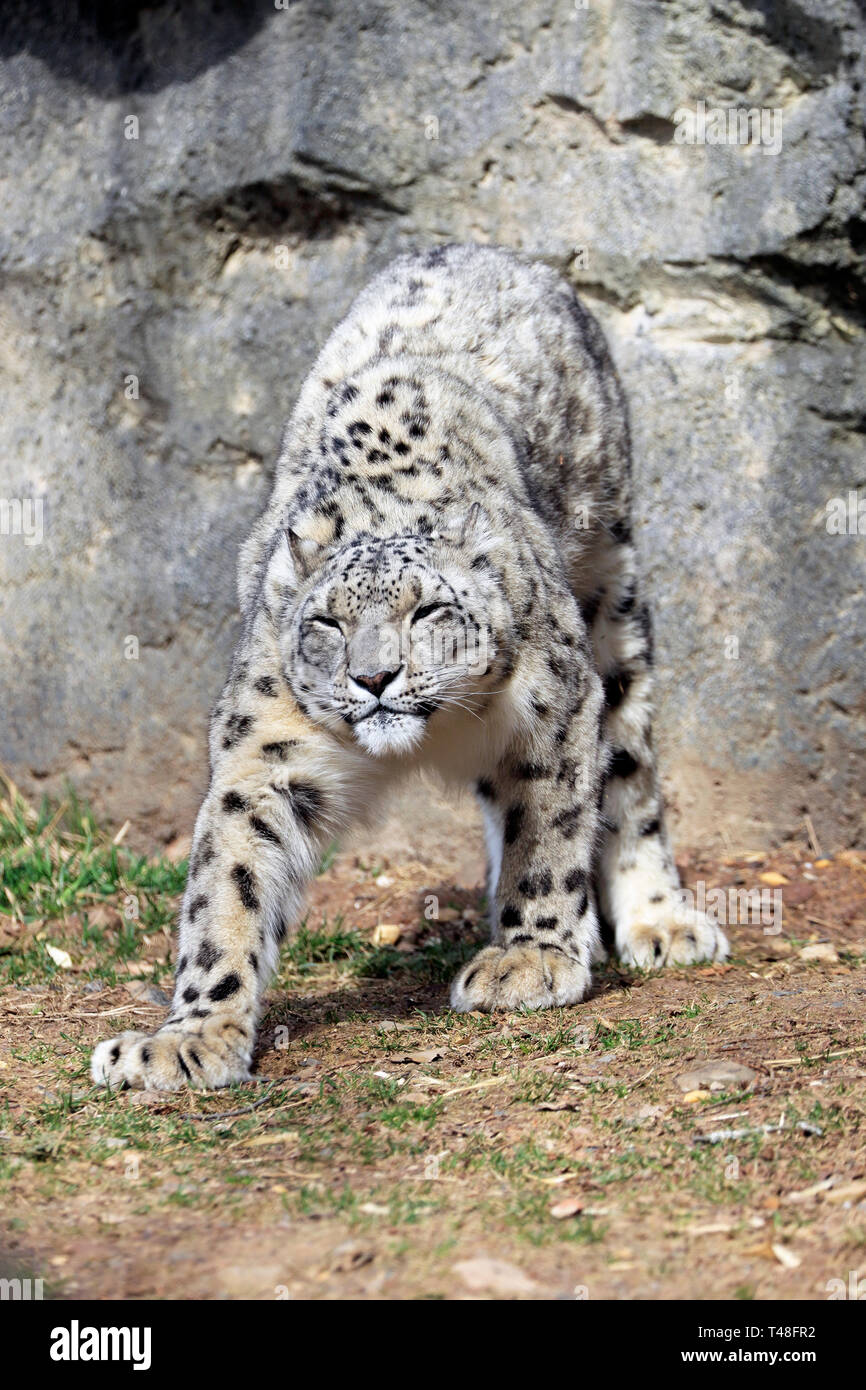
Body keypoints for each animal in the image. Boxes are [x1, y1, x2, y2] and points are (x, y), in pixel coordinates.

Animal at [91, 243, 727, 1091]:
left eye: (426, 612)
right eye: (326, 622)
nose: (373, 679)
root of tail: (491, 250)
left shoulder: (554, 708)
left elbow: (549, 832)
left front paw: (531, 958)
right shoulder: (266, 753)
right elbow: (227, 888)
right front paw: (188, 1039)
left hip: (611, 590)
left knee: (630, 765)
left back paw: (660, 918)